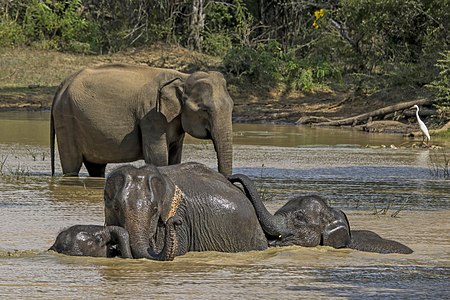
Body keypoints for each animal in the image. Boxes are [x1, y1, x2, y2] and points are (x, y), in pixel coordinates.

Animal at [49, 62, 234, 176]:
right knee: (72, 165)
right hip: (66, 119)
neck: (183, 76)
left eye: (232, 107)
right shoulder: (152, 117)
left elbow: (175, 158)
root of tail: (62, 85)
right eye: (204, 110)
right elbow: (157, 158)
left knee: (96, 167)